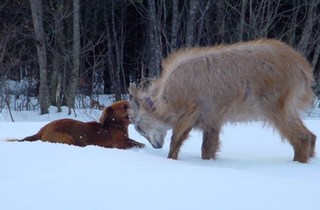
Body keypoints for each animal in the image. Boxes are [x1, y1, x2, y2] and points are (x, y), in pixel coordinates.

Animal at [129, 39, 316, 164]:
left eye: (138, 126)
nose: (155, 146)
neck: (165, 100)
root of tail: (303, 68)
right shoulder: (212, 118)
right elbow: (208, 148)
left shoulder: (193, 110)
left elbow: (176, 140)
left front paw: (171, 160)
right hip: (288, 107)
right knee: (311, 135)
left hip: (273, 106)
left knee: (301, 137)